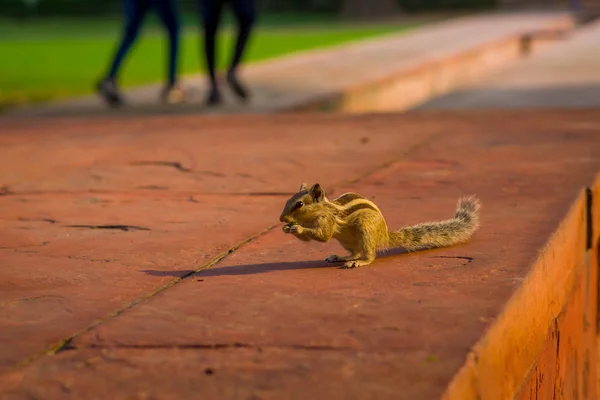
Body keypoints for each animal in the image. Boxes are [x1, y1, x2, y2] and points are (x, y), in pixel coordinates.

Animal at [278, 184, 480, 268]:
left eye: (299, 204)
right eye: (288, 200)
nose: (282, 219)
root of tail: (384, 235)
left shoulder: (328, 221)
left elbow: (323, 235)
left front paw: (296, 228)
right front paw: (288, 229)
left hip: (365, 229)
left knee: (368, 255)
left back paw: (358, 262)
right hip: (347, 240)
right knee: (355, 251)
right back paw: (341, 257)